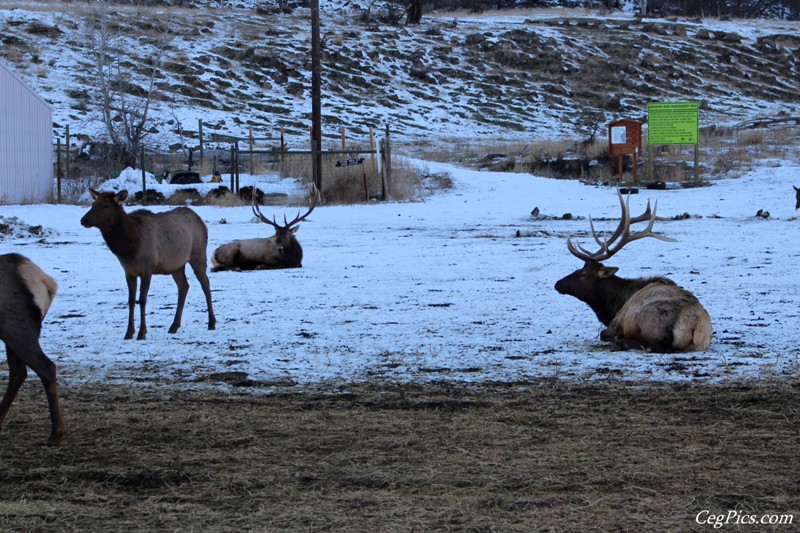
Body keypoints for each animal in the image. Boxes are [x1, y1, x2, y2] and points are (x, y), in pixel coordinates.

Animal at [80, 190, 216, 340]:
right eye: (93, 204)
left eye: (106, 206)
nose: (84, 220)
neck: (128, 248)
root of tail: (202, 223)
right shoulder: (129, 271)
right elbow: (131, 300)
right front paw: (128, 332)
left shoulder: (147, 268)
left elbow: (142, 299)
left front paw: (142, 333)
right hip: (176, 265)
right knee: (184, 286)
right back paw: (174, 326)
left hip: (198, 254)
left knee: (205, 284)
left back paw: (211, 323)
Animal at [556, 189, 712, 352]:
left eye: (582, 274)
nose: (557, 284)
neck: (614, 305)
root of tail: (695, 326)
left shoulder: (616, 321)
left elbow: (602, 334)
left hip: (649, 320)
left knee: (657, 346)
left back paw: (622, 341)